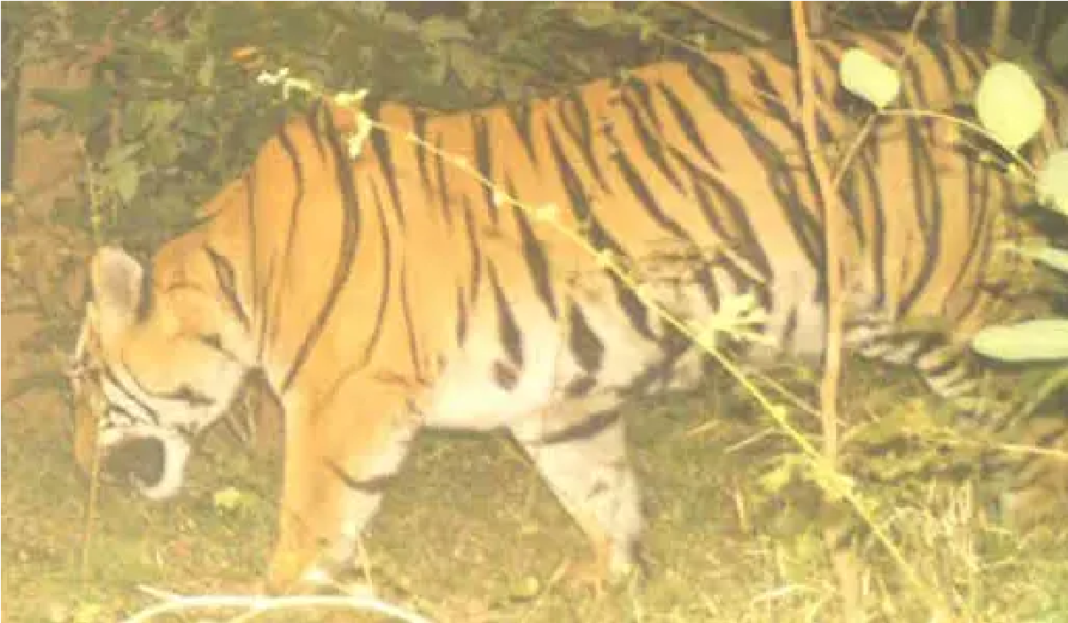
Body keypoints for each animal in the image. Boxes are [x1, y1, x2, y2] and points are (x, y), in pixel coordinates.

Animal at [69, 30, 1067, 593]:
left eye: (83, 379)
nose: (75, 461)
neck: (242, 277)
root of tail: (1028, 80)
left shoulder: (347, 401)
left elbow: (313, 516)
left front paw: (274, 589)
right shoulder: (558, 401)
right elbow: (601, 489)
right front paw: (605, 578)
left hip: (981, 314)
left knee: (1038, 430)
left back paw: (1030, 552)